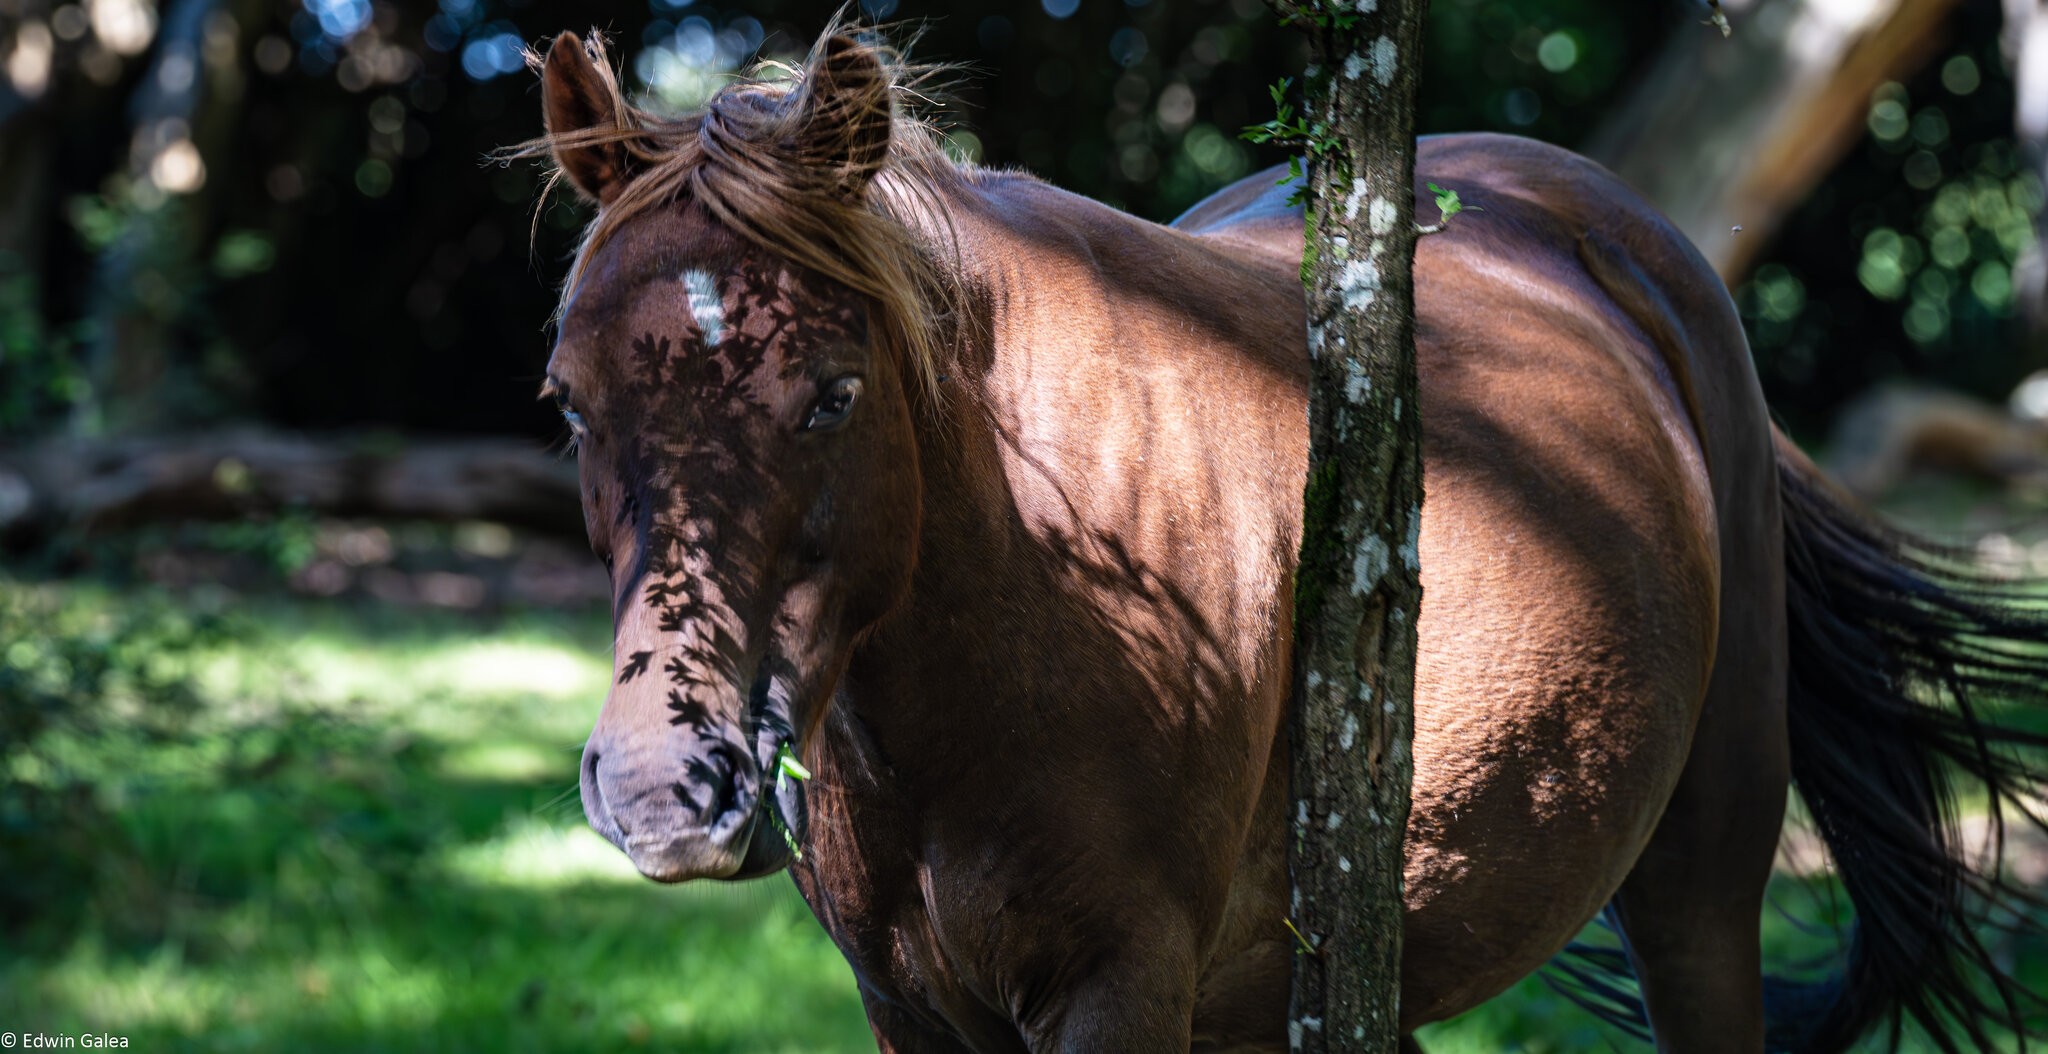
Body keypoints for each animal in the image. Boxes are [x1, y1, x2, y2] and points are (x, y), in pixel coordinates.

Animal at [528, 24, 2048, 1054]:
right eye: (569, 399)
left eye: (834, 393)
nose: (666, 784)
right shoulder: (909, 1005)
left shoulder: (1119, 989)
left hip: (1700, 886)